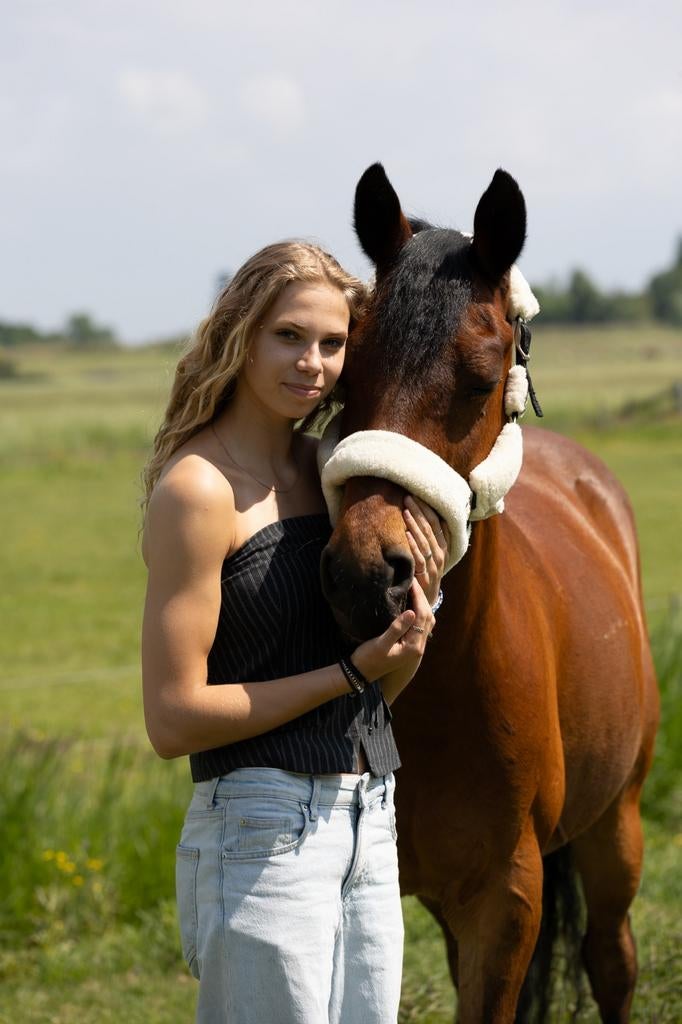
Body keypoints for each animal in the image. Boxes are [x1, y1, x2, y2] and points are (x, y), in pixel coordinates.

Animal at [318, 164, 659, 1023]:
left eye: (479, 378)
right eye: (347, 375)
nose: (365, 573)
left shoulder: (506, 899)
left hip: (617, 827)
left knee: (612, 960)